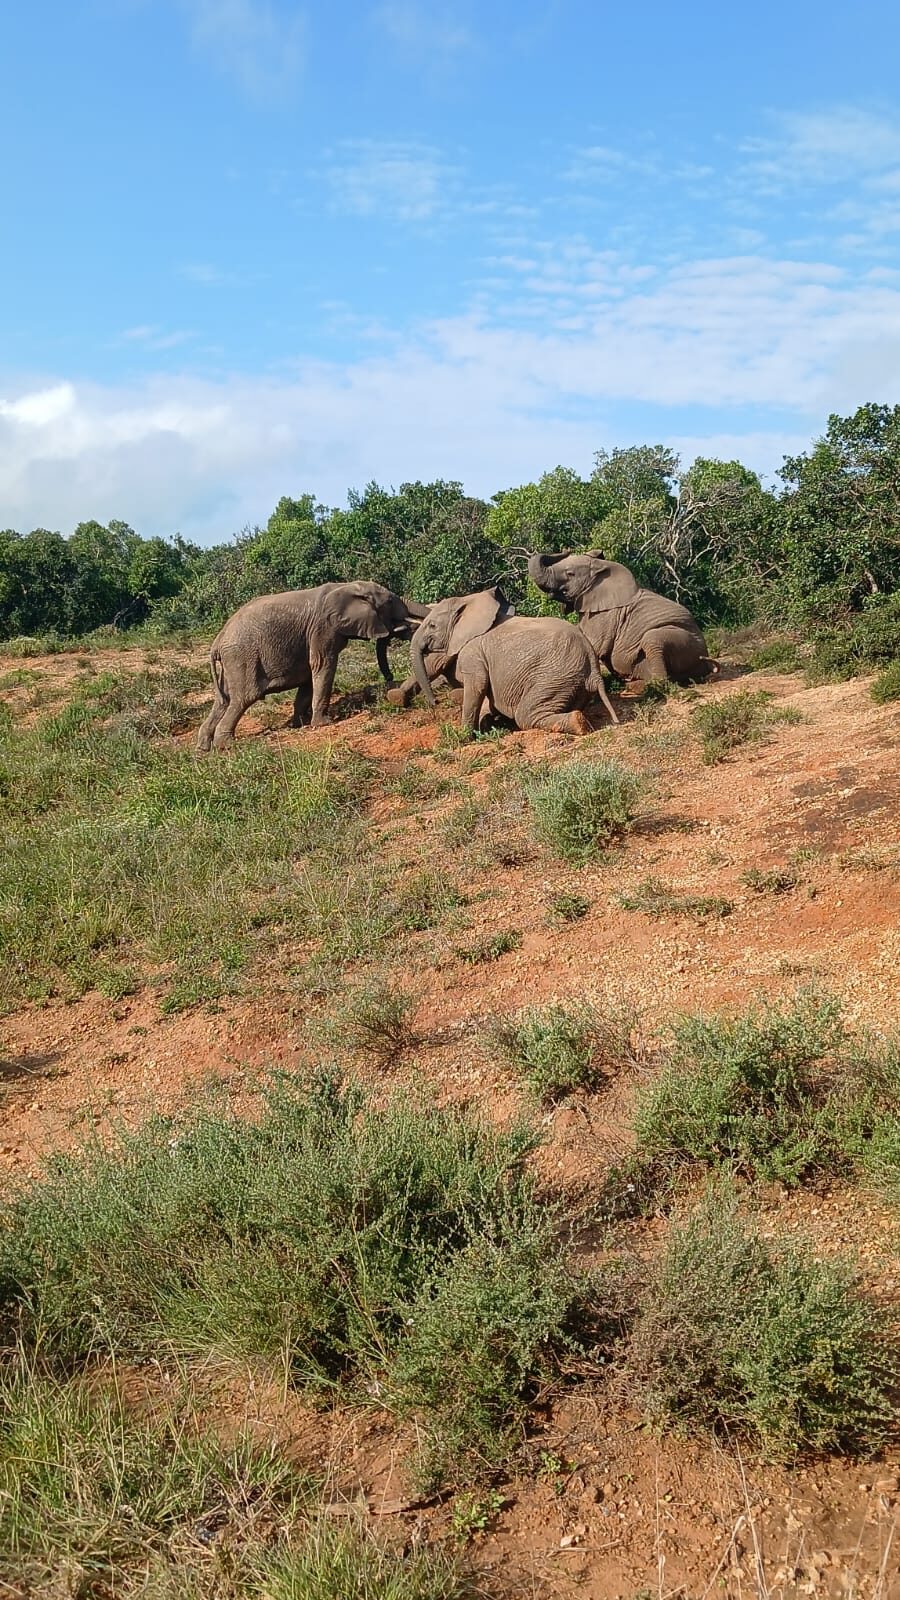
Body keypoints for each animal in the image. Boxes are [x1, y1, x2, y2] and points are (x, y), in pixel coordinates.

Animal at [195, 581, 429, 752]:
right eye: (389, 601)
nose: (390, 679)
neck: (347, 586)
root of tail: (217, 641)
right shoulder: (322, 629)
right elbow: (323, 665)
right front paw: (323, 723)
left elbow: (308, 676)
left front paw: (300, 724)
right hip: (242, 658)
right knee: (243, 698)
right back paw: (226, 744)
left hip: (231, 665)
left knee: (223, 701)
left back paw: (204, 748)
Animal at [393, 586, 618, 734]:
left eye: (431, 625)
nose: (435, 702)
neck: (468, 601)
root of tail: (594, 669)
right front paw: (484, 725)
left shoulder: (473, 653)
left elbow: (477, 685)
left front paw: (464, 736)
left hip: (555, 678)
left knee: (526, 714)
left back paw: (579, 723)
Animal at [527, 551, 715, 688]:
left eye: (570, 573)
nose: (565, 550)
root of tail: (705, 664)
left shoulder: (606, 615)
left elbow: (595, 646)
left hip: (688, 642)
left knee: (652, 639)